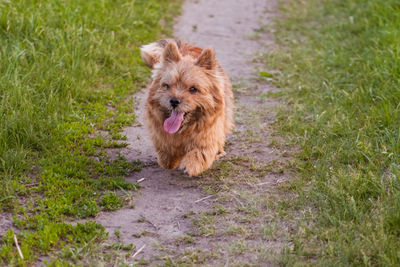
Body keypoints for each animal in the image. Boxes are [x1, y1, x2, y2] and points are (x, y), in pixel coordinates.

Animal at [141, 39, 234, 176]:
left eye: (193, 89)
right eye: (167, 85)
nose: (174, 101)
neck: (183, 129)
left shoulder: (208, 134)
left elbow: (201, 152)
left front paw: (191, 164)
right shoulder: (159, 132)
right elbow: (165, 153)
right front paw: (170, 159)